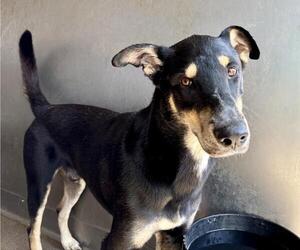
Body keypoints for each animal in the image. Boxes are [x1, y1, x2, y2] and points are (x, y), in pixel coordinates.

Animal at [18, 25, 258, 250]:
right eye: (185, 82)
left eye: (232, 70)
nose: (234, 136)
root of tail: (46, 109)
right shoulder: (121, 238)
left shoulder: (174, 234)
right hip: (38, 183)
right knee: (33, 227)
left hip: (76, 181)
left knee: (61, 209)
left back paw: (67, 241)